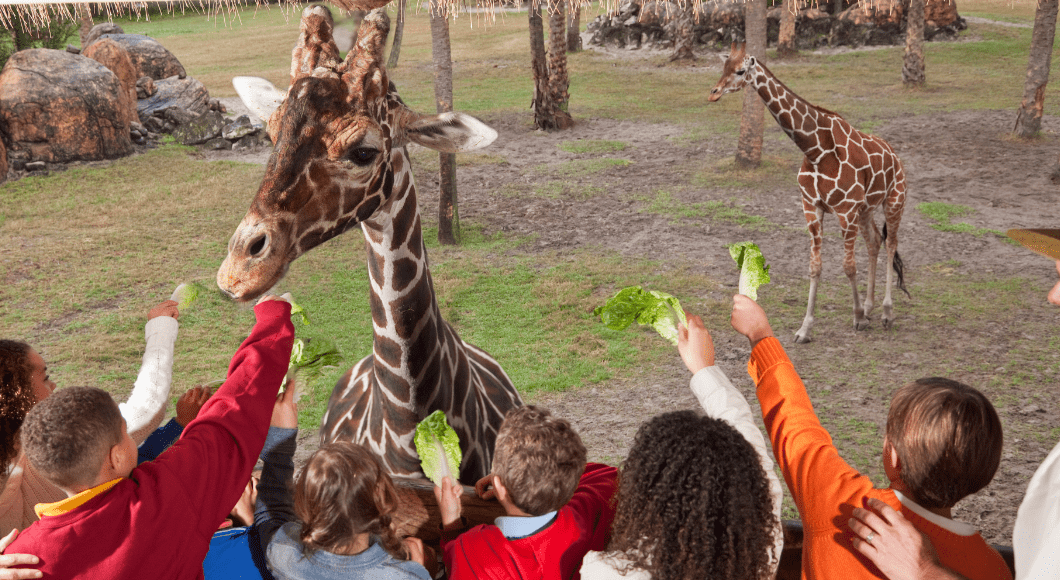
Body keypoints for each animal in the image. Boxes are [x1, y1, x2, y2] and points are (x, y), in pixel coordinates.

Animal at [708, 44, 907, 345]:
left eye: (740, 71)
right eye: (723, 68)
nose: (714, 93)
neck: (815, 150)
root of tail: (895, 156)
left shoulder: (845, 209)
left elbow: (848, 266)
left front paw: (858, 318)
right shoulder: (812, 207)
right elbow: (815, 267)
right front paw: (805, 329)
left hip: (894, 200)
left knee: (891, 244)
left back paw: (886, 312)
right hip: (866, 209)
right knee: (874, 242)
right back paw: (870, 306)